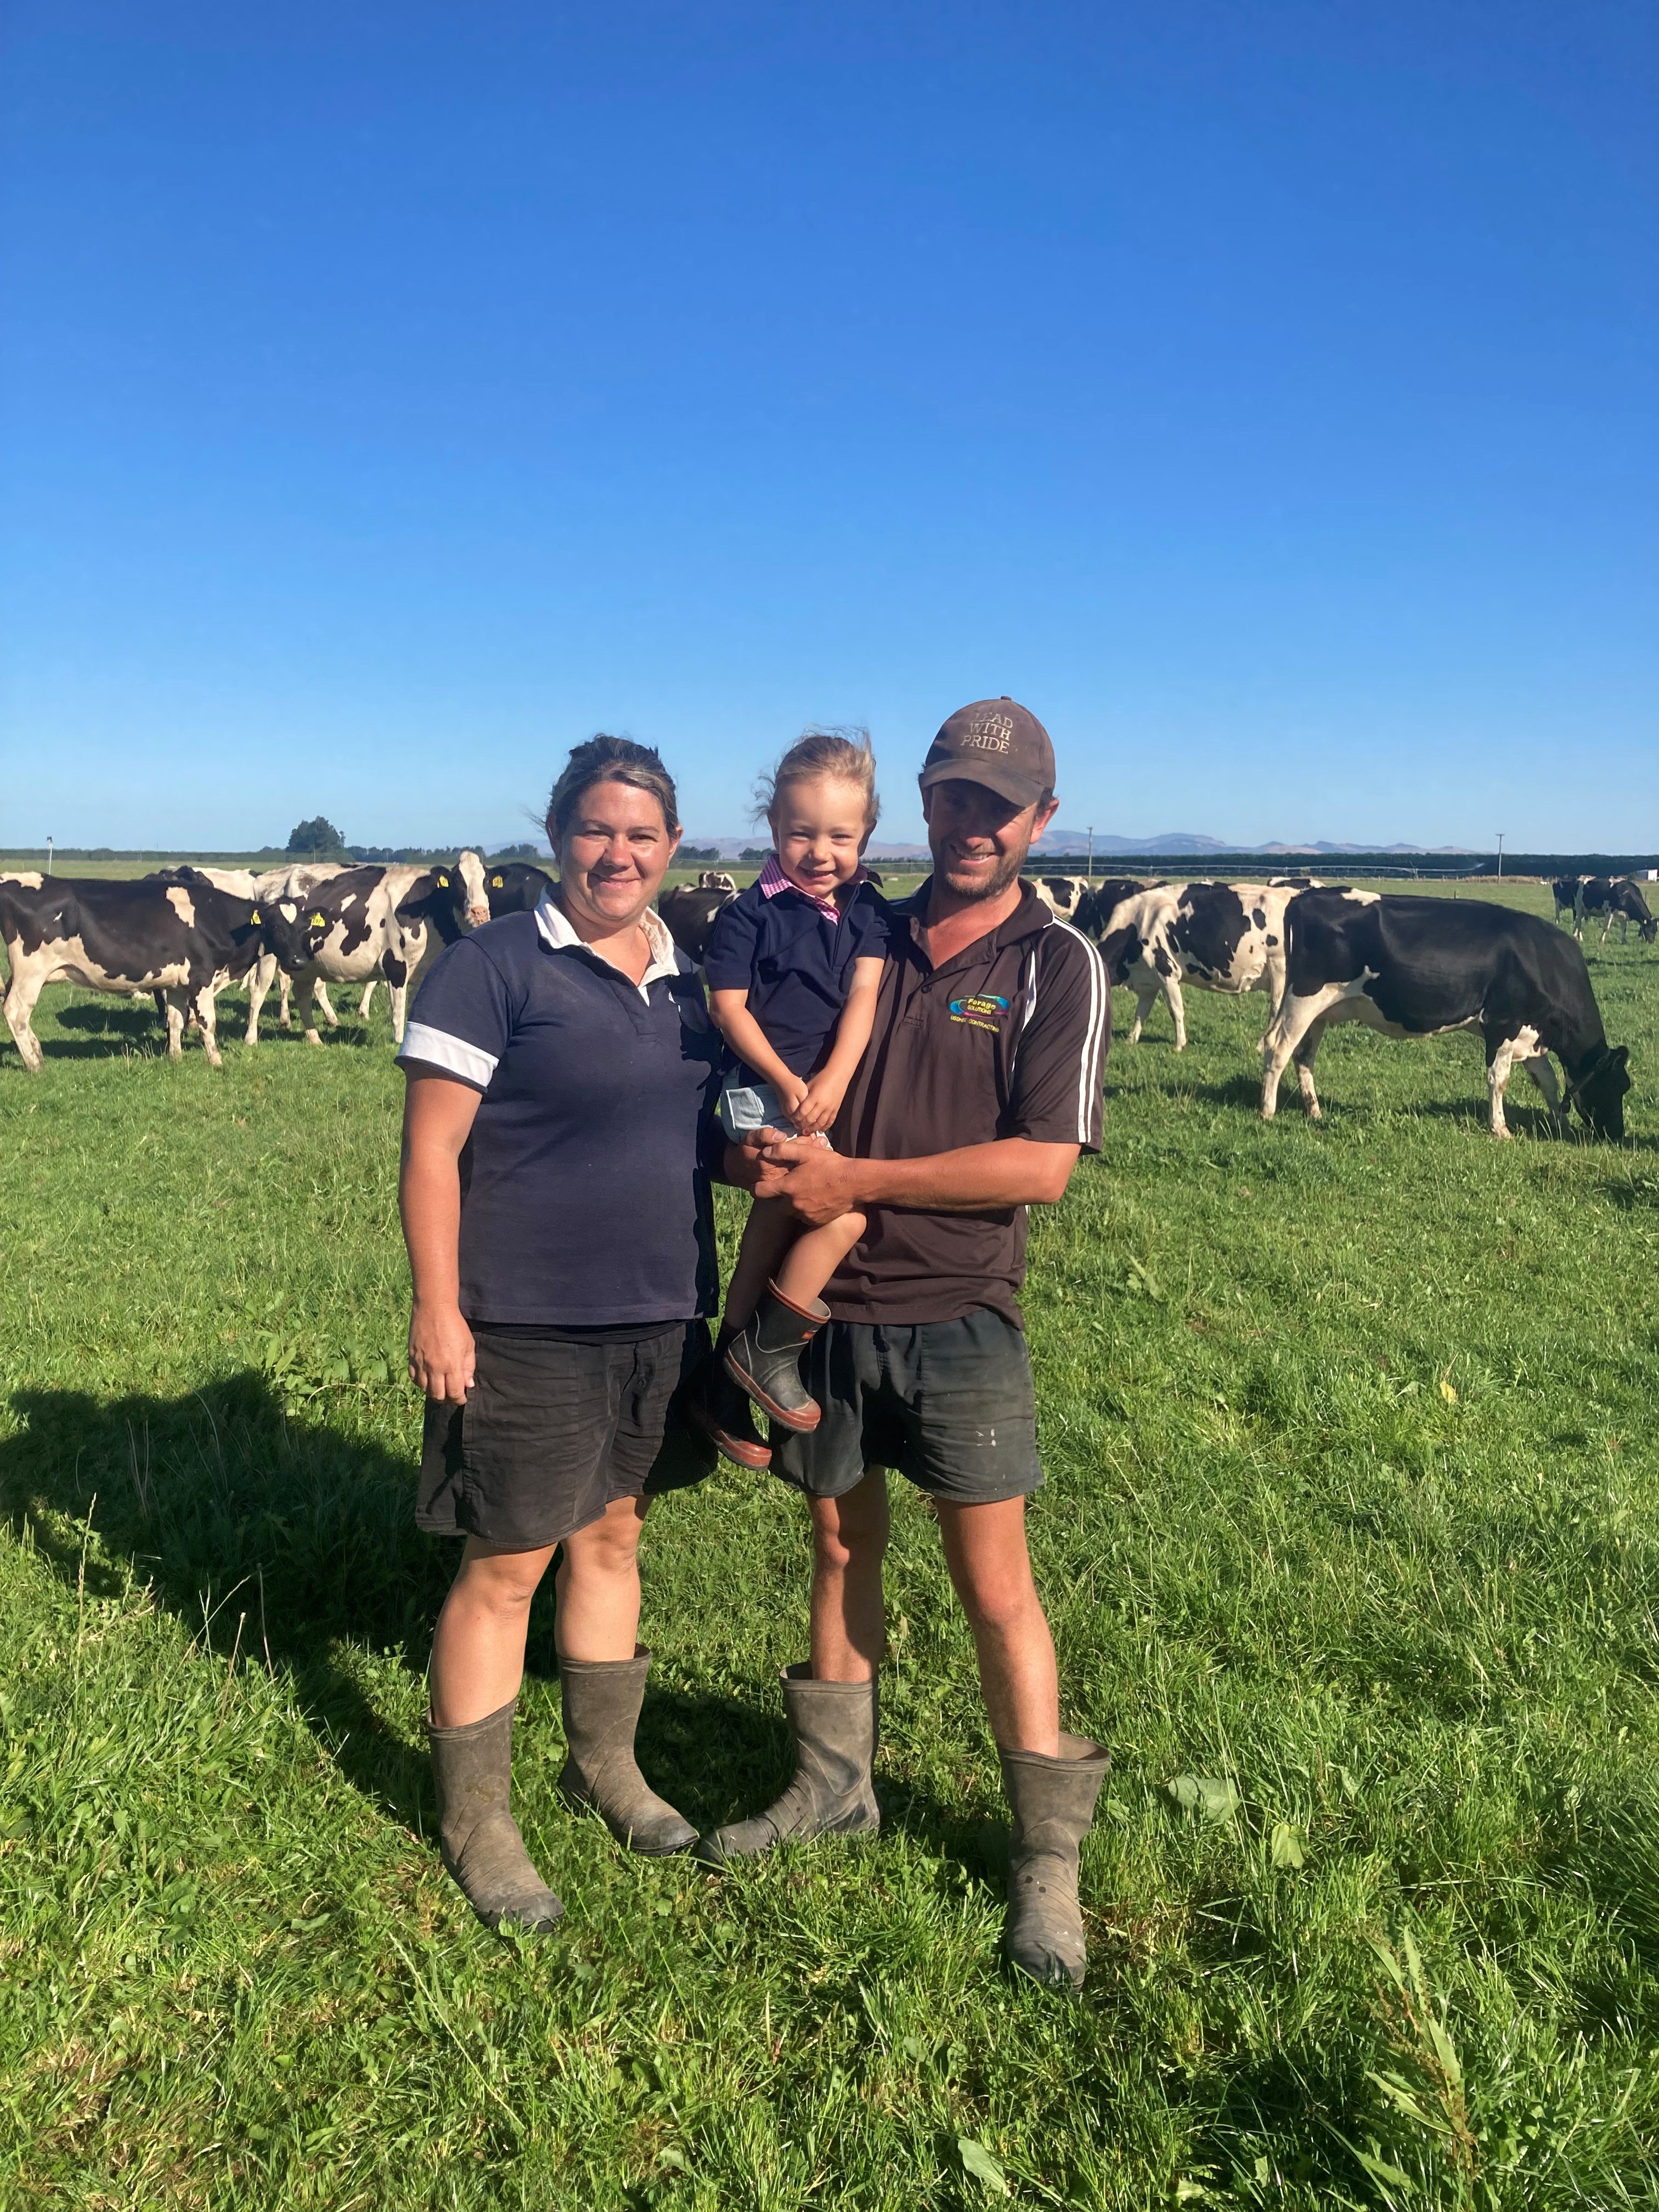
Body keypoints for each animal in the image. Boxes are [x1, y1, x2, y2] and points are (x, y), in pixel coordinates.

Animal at [1, 871, 309, 1070]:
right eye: (276, 927)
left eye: (304, 928)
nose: (298, 961)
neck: (216, 918)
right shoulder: (201, 979)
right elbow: (208, 1022)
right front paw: (216, 1061)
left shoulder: (176, 984)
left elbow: (176, 1021)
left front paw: (175, 1058)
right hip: (31, 973)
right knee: (16, 1012)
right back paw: (35, 1064)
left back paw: (38, 1053)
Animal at [1106, 880, 1309, 1053]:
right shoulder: (1149, 980)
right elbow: (1141, 1013)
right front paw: (1131, 1040)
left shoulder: (1167, 971)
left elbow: (1176, 1010)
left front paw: (1179, 1045)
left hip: (1279, 968)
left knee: (1276, 1010)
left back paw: (1261, 1046)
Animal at [1256, 889, 1637, 1141]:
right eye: (1617, 1086)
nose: (1616, 1134)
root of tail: (1305, 896)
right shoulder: (1503, 1023)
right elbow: (1499, 1079)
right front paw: (1500, 1128)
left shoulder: (1530, 1035)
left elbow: (1549, 1081)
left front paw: (1560, 1123)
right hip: (1304, 998)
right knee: (1277, 1048)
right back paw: (1267, 1111)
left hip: (1320, 1012)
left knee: (1304, 1056)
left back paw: (1314, 1110)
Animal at [1575, 876, 1654, 946]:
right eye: (1650, 929)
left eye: (1656, 930)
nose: (1652, 942)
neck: (1626, 894)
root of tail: (1582, 877)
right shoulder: (1609, 911)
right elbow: (1606, 928)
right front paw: (1601, 941)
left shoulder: (1624, 916)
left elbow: (1624, 929)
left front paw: (1624, 941)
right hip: (1579, 906)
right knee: (1578, 921)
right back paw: (1579, 938)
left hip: (1585, 910)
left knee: (1579, 921)